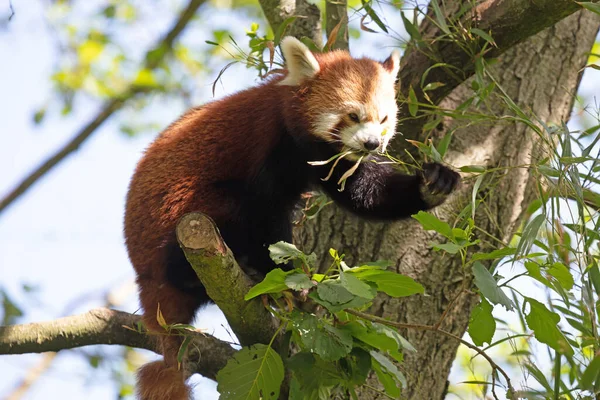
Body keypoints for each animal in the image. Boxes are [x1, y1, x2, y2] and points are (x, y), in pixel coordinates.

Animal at [123, 36, 460, 398]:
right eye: (353, 115)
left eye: (384, 119)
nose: (372, 144)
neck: (301, 140)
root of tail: (144, 278)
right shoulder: (270, 143)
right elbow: (267, 214)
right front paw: (287, 276)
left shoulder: (329, 160)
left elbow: (365, 194)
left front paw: (432, 184)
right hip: (180, 216)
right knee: (228, 213)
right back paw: (244, 269)